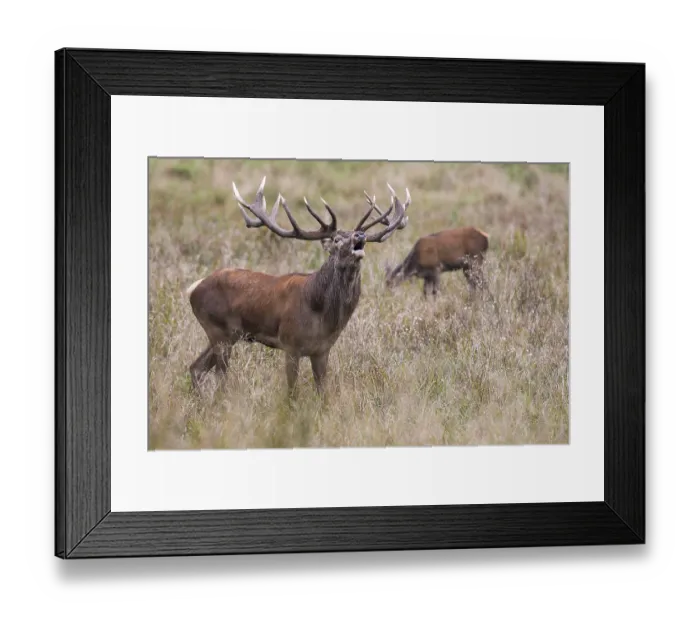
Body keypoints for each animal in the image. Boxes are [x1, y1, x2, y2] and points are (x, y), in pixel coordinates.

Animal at [185, 176, 410, 398]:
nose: (360, 236)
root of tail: (193, 289)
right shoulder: (290, 344)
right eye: (337, 240)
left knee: (195, 367)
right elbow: (292, 391)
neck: (321, 314)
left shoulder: (322, 350)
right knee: (218, 377)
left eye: (359, 235)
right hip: (217, 329)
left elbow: (322, 393)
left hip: (226, 335)